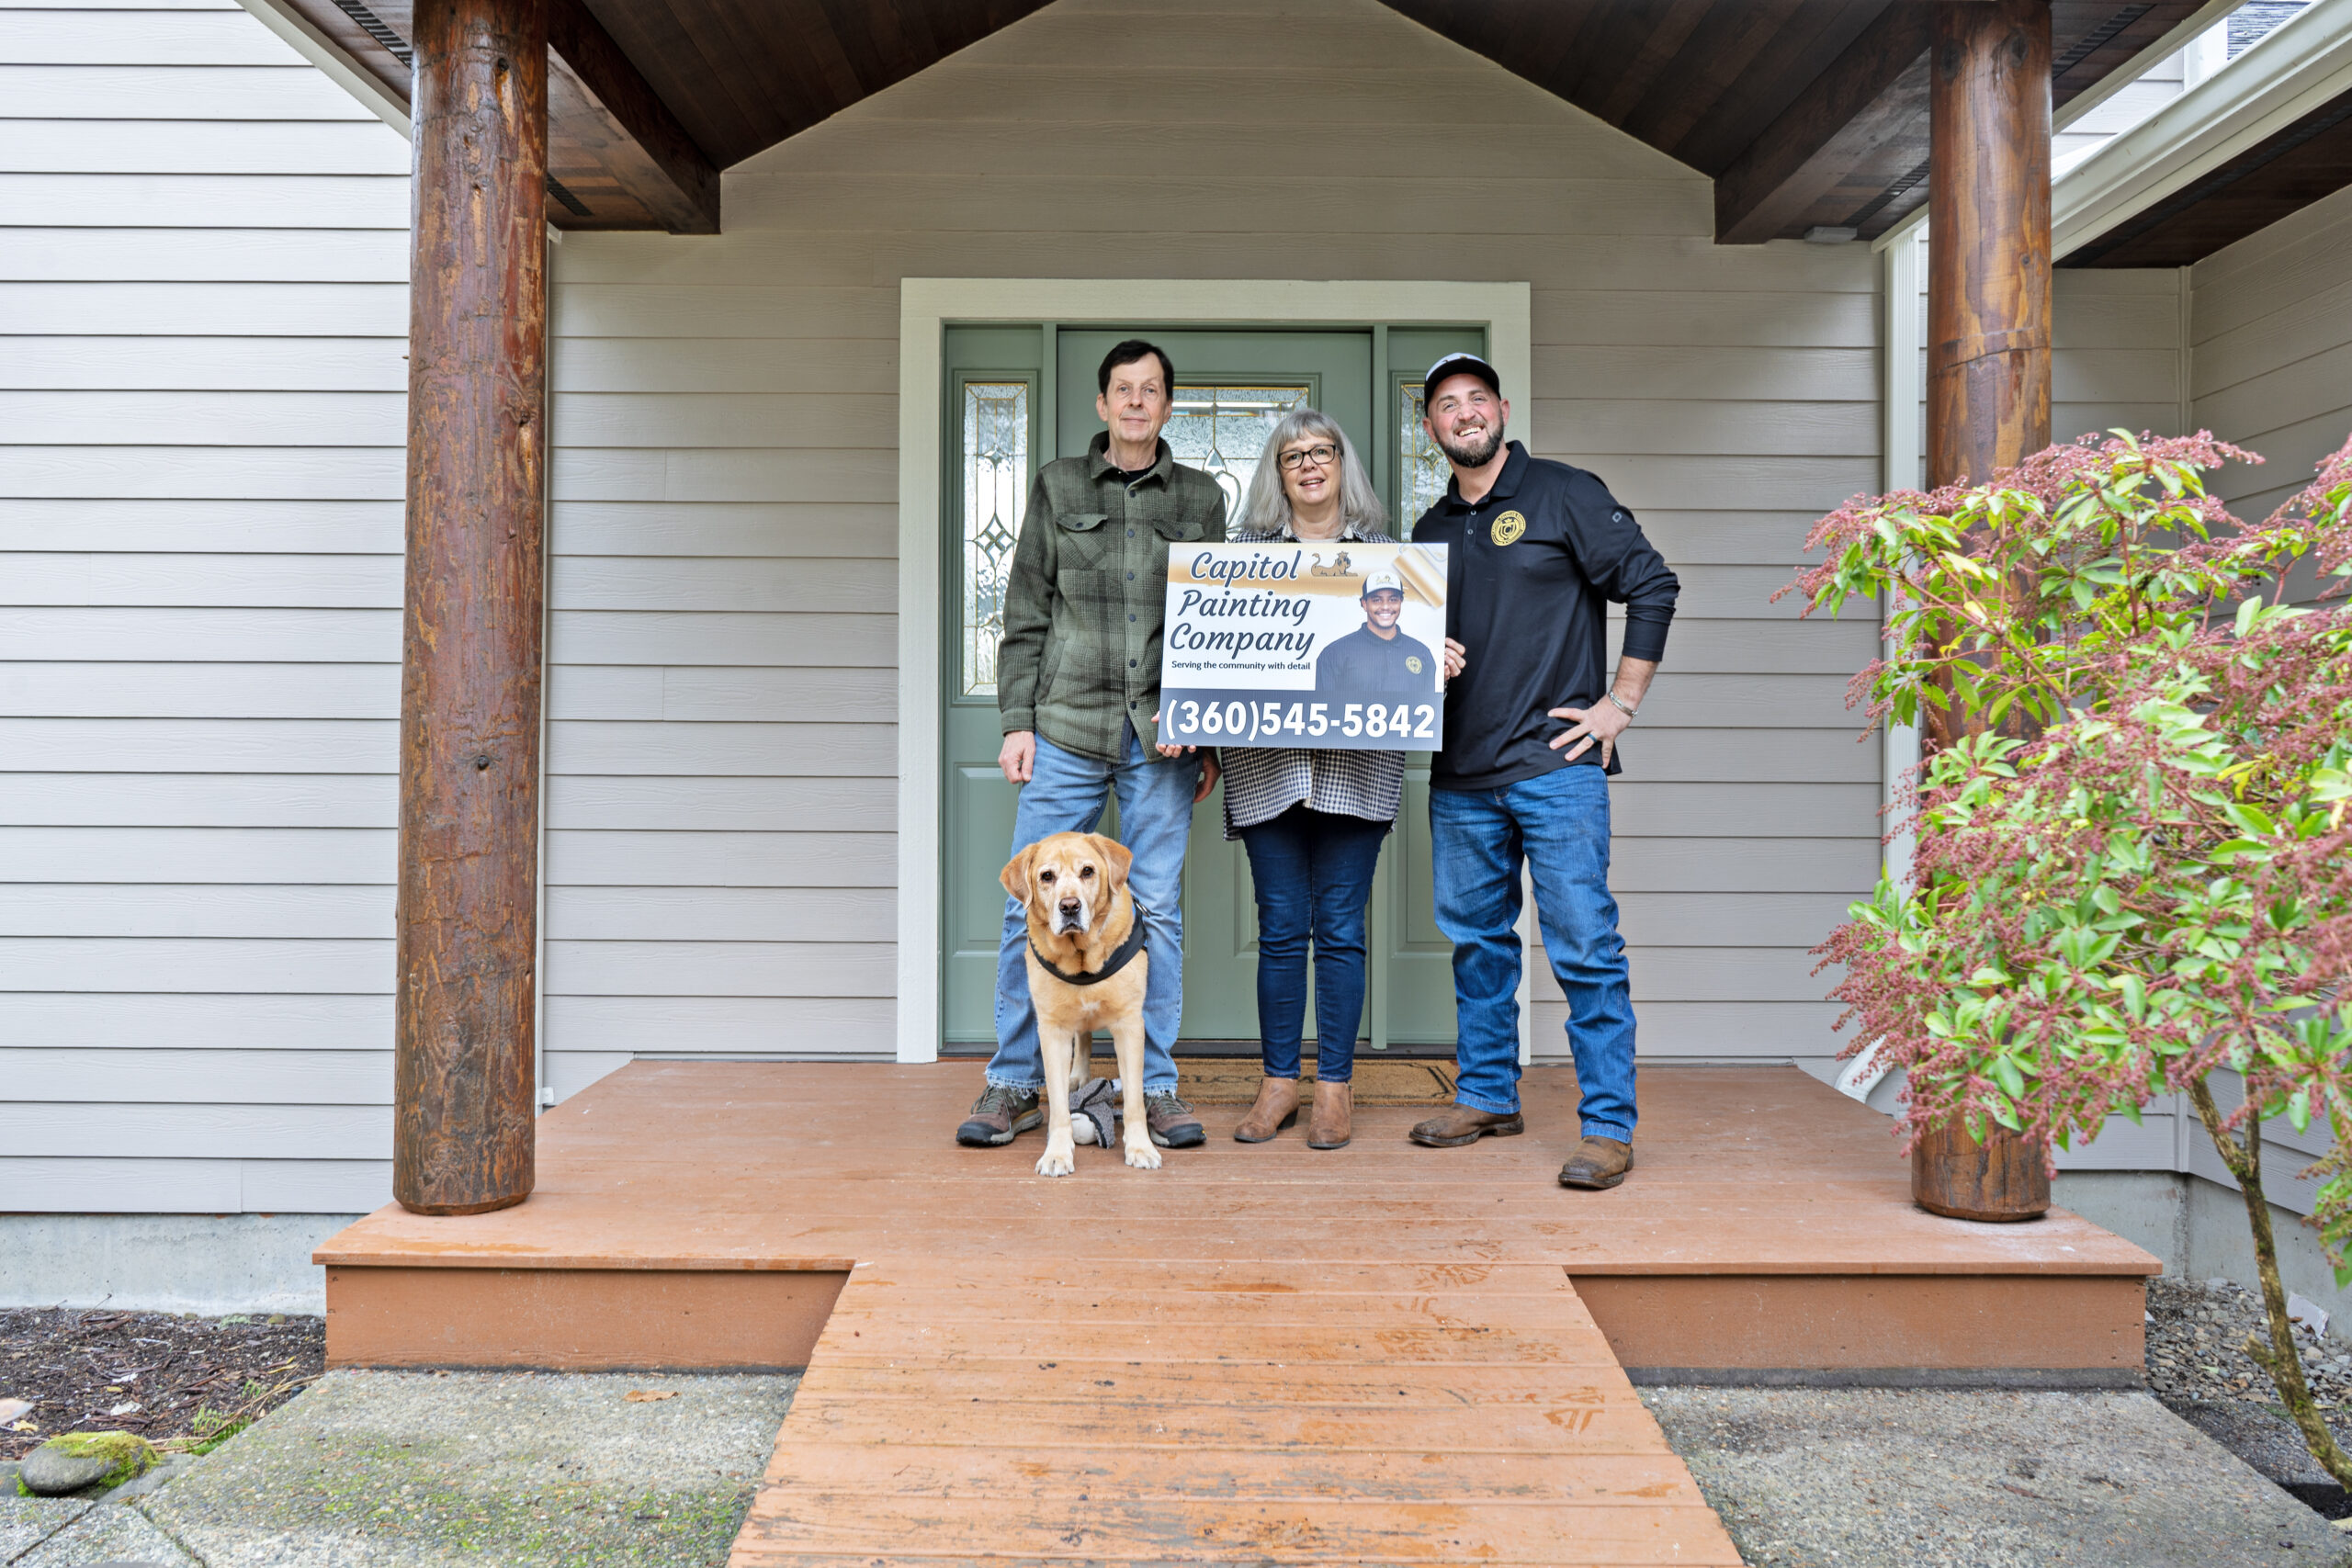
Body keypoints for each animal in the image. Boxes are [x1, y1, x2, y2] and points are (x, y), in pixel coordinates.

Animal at [999, 831, 1159, 1177]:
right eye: (1047, 876)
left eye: (1088, 871)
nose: (1070, 906)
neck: (1082, 958)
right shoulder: (1052, 1029)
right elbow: (1059, 1105)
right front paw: (1057, 1153)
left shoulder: (1130, 1024)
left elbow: (1135, 1101)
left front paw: (1140, 1147)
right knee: (1082, 1038)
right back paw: (1077, 1076)